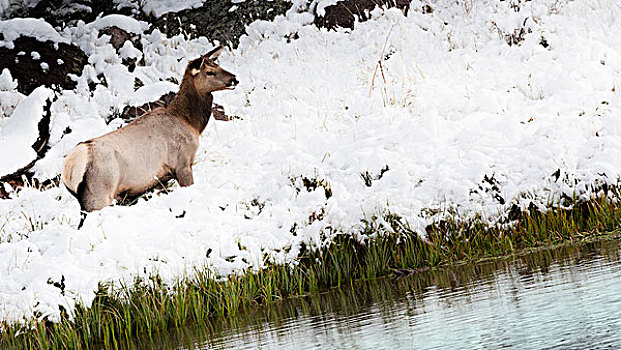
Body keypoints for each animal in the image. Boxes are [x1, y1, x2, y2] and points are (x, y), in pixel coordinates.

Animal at [62, 45, 237, 227]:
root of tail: (69, 169)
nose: (234, 79)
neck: (191, 123)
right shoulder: (182, 164)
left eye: (218, 65)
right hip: (98, 194)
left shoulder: (161, 178)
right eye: (209, 72)